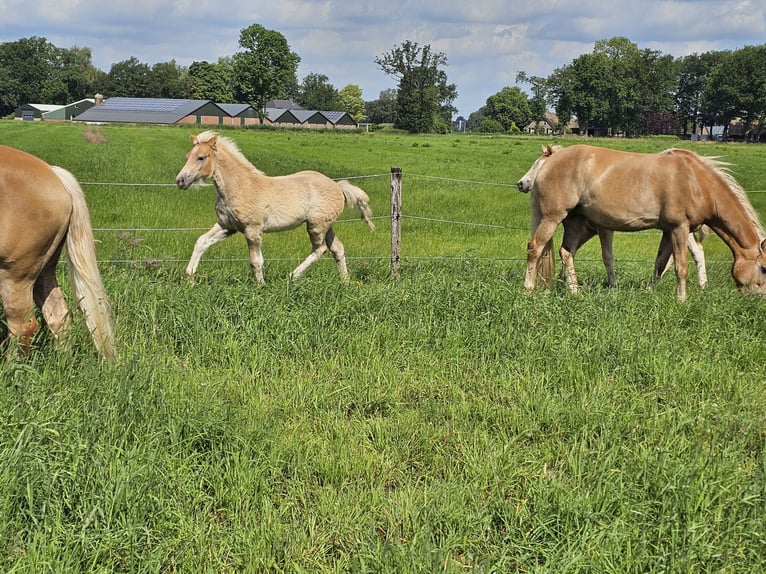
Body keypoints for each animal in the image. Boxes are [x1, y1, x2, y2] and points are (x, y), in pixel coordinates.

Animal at [175, 131, 378, 284]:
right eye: (187, 156)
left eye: (201, 157)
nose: (180, 181)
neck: (240, 186)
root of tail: (337, 186)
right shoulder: (227, 226)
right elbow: (201, 241)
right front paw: (190, 277)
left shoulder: (252, 230)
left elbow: (256, 261)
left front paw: (261, 286)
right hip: (326, 225)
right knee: (337, 248)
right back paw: (345, 281)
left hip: (316, 226)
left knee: (320, 249)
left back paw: (292, 276)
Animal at [520, 144, 764, 302]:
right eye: (763, 268)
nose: (757, 300)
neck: (696, 181)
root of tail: (551, 162)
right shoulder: (679, 228)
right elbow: (681, 267)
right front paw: (682, 300)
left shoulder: (668, 231)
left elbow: (660, 264)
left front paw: (649, 292)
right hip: (553, 217)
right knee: (535, 248)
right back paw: (528, 289)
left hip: (574, 220)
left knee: (566, 252)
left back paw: (574, 291)